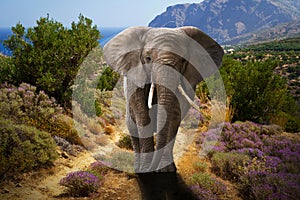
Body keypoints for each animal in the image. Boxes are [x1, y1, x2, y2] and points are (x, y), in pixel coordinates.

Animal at [103, 25, 223, 173]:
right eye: (148, 58)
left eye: (183, 60)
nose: (152, 169)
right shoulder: (135, 75)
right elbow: (142, 115)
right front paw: (145, 170)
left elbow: (174, 117)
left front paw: (166, 170)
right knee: (133, 129)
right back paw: (137, 167)